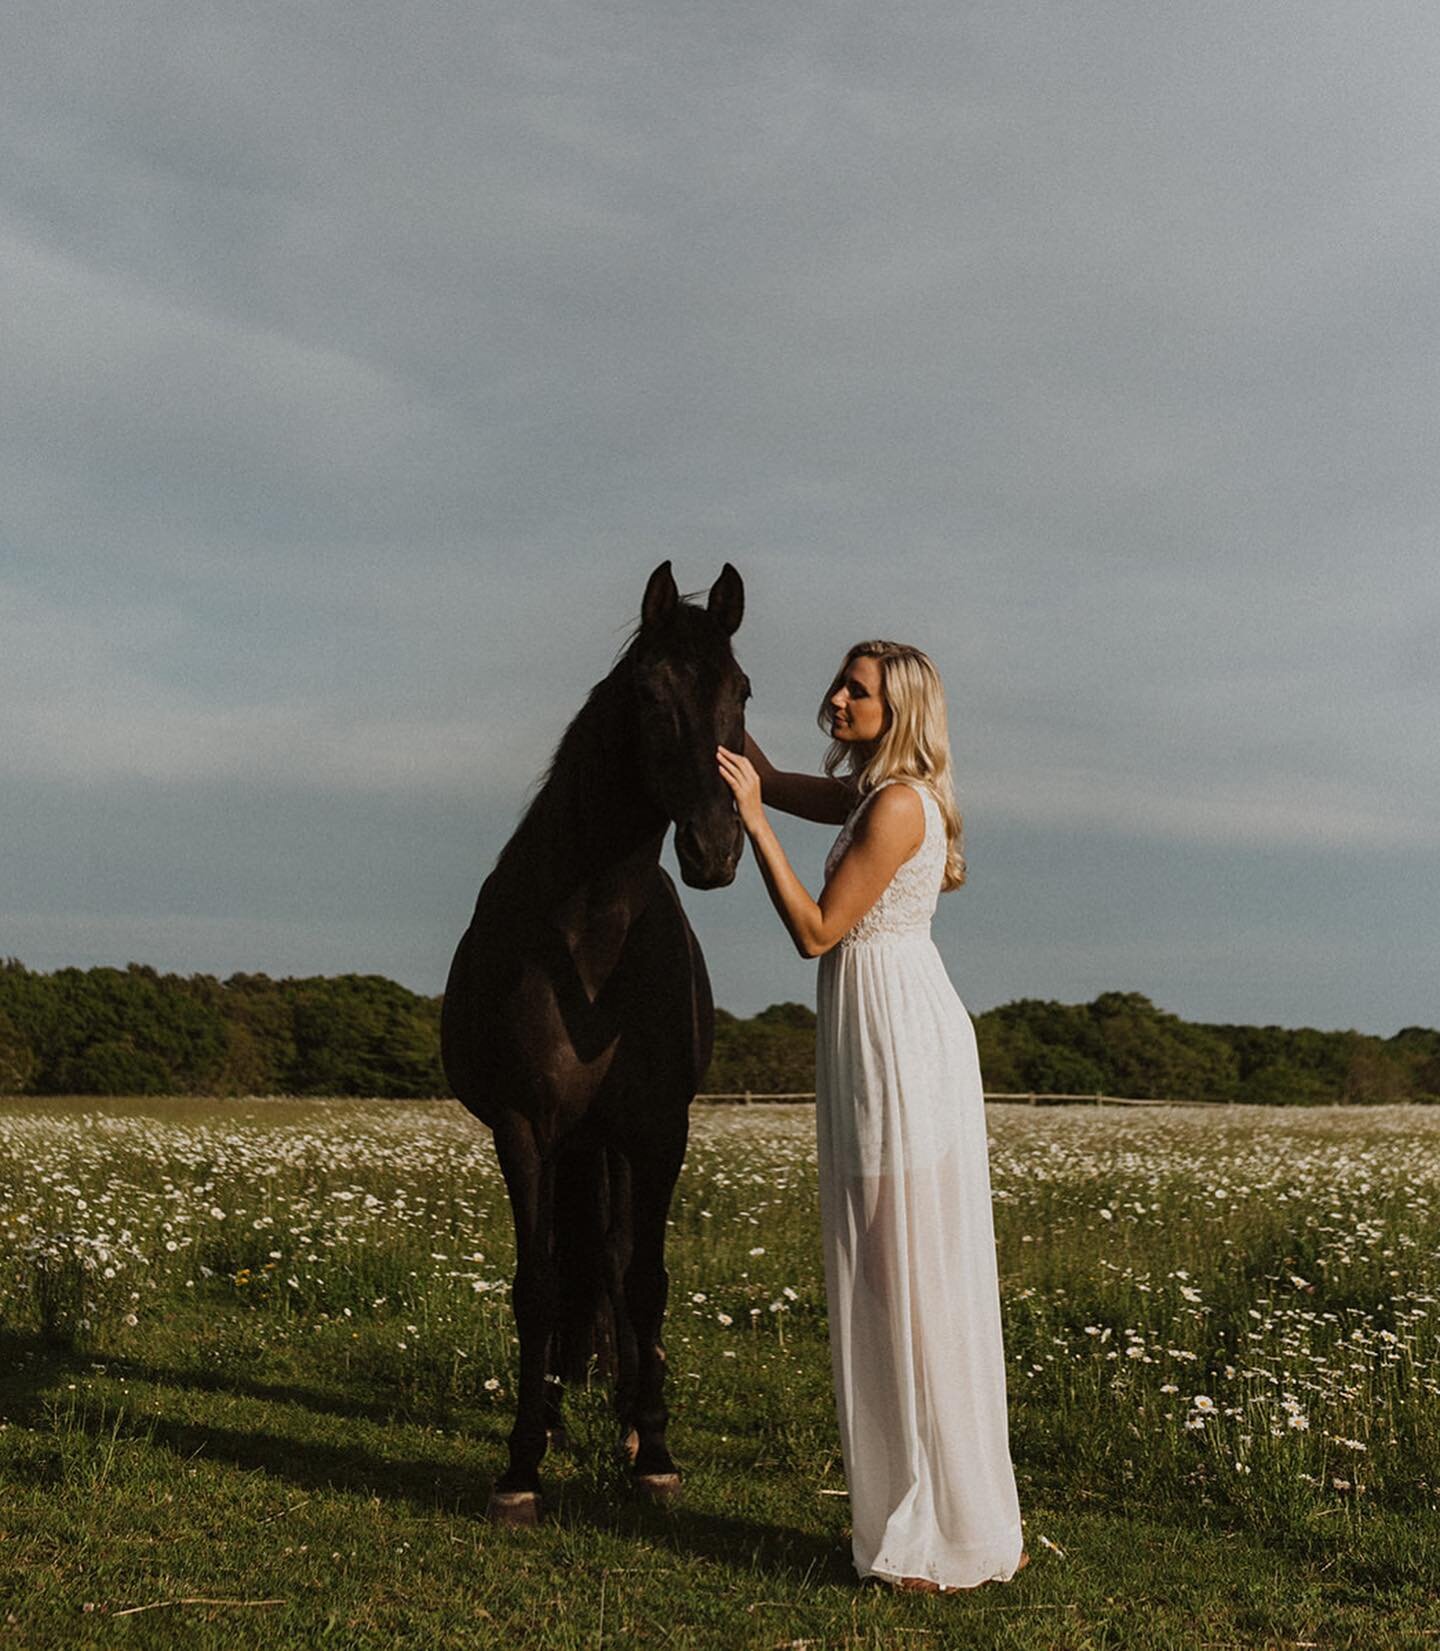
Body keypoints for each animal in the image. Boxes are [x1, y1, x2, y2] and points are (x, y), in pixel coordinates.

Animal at [445, 564, 749, 1518]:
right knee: (572, 1268)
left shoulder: (657, 1130)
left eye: (741, 690)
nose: (716, 848)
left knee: (609, 1266)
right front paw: (520, 1465)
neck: (588, 939)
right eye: (650, 694)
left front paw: (654, 1449)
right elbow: (537, 1286)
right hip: (574, 1145)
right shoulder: (525, 1128)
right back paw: (551, 1412)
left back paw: (618, 1418)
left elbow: (644, 1280)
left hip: (607, 1145)